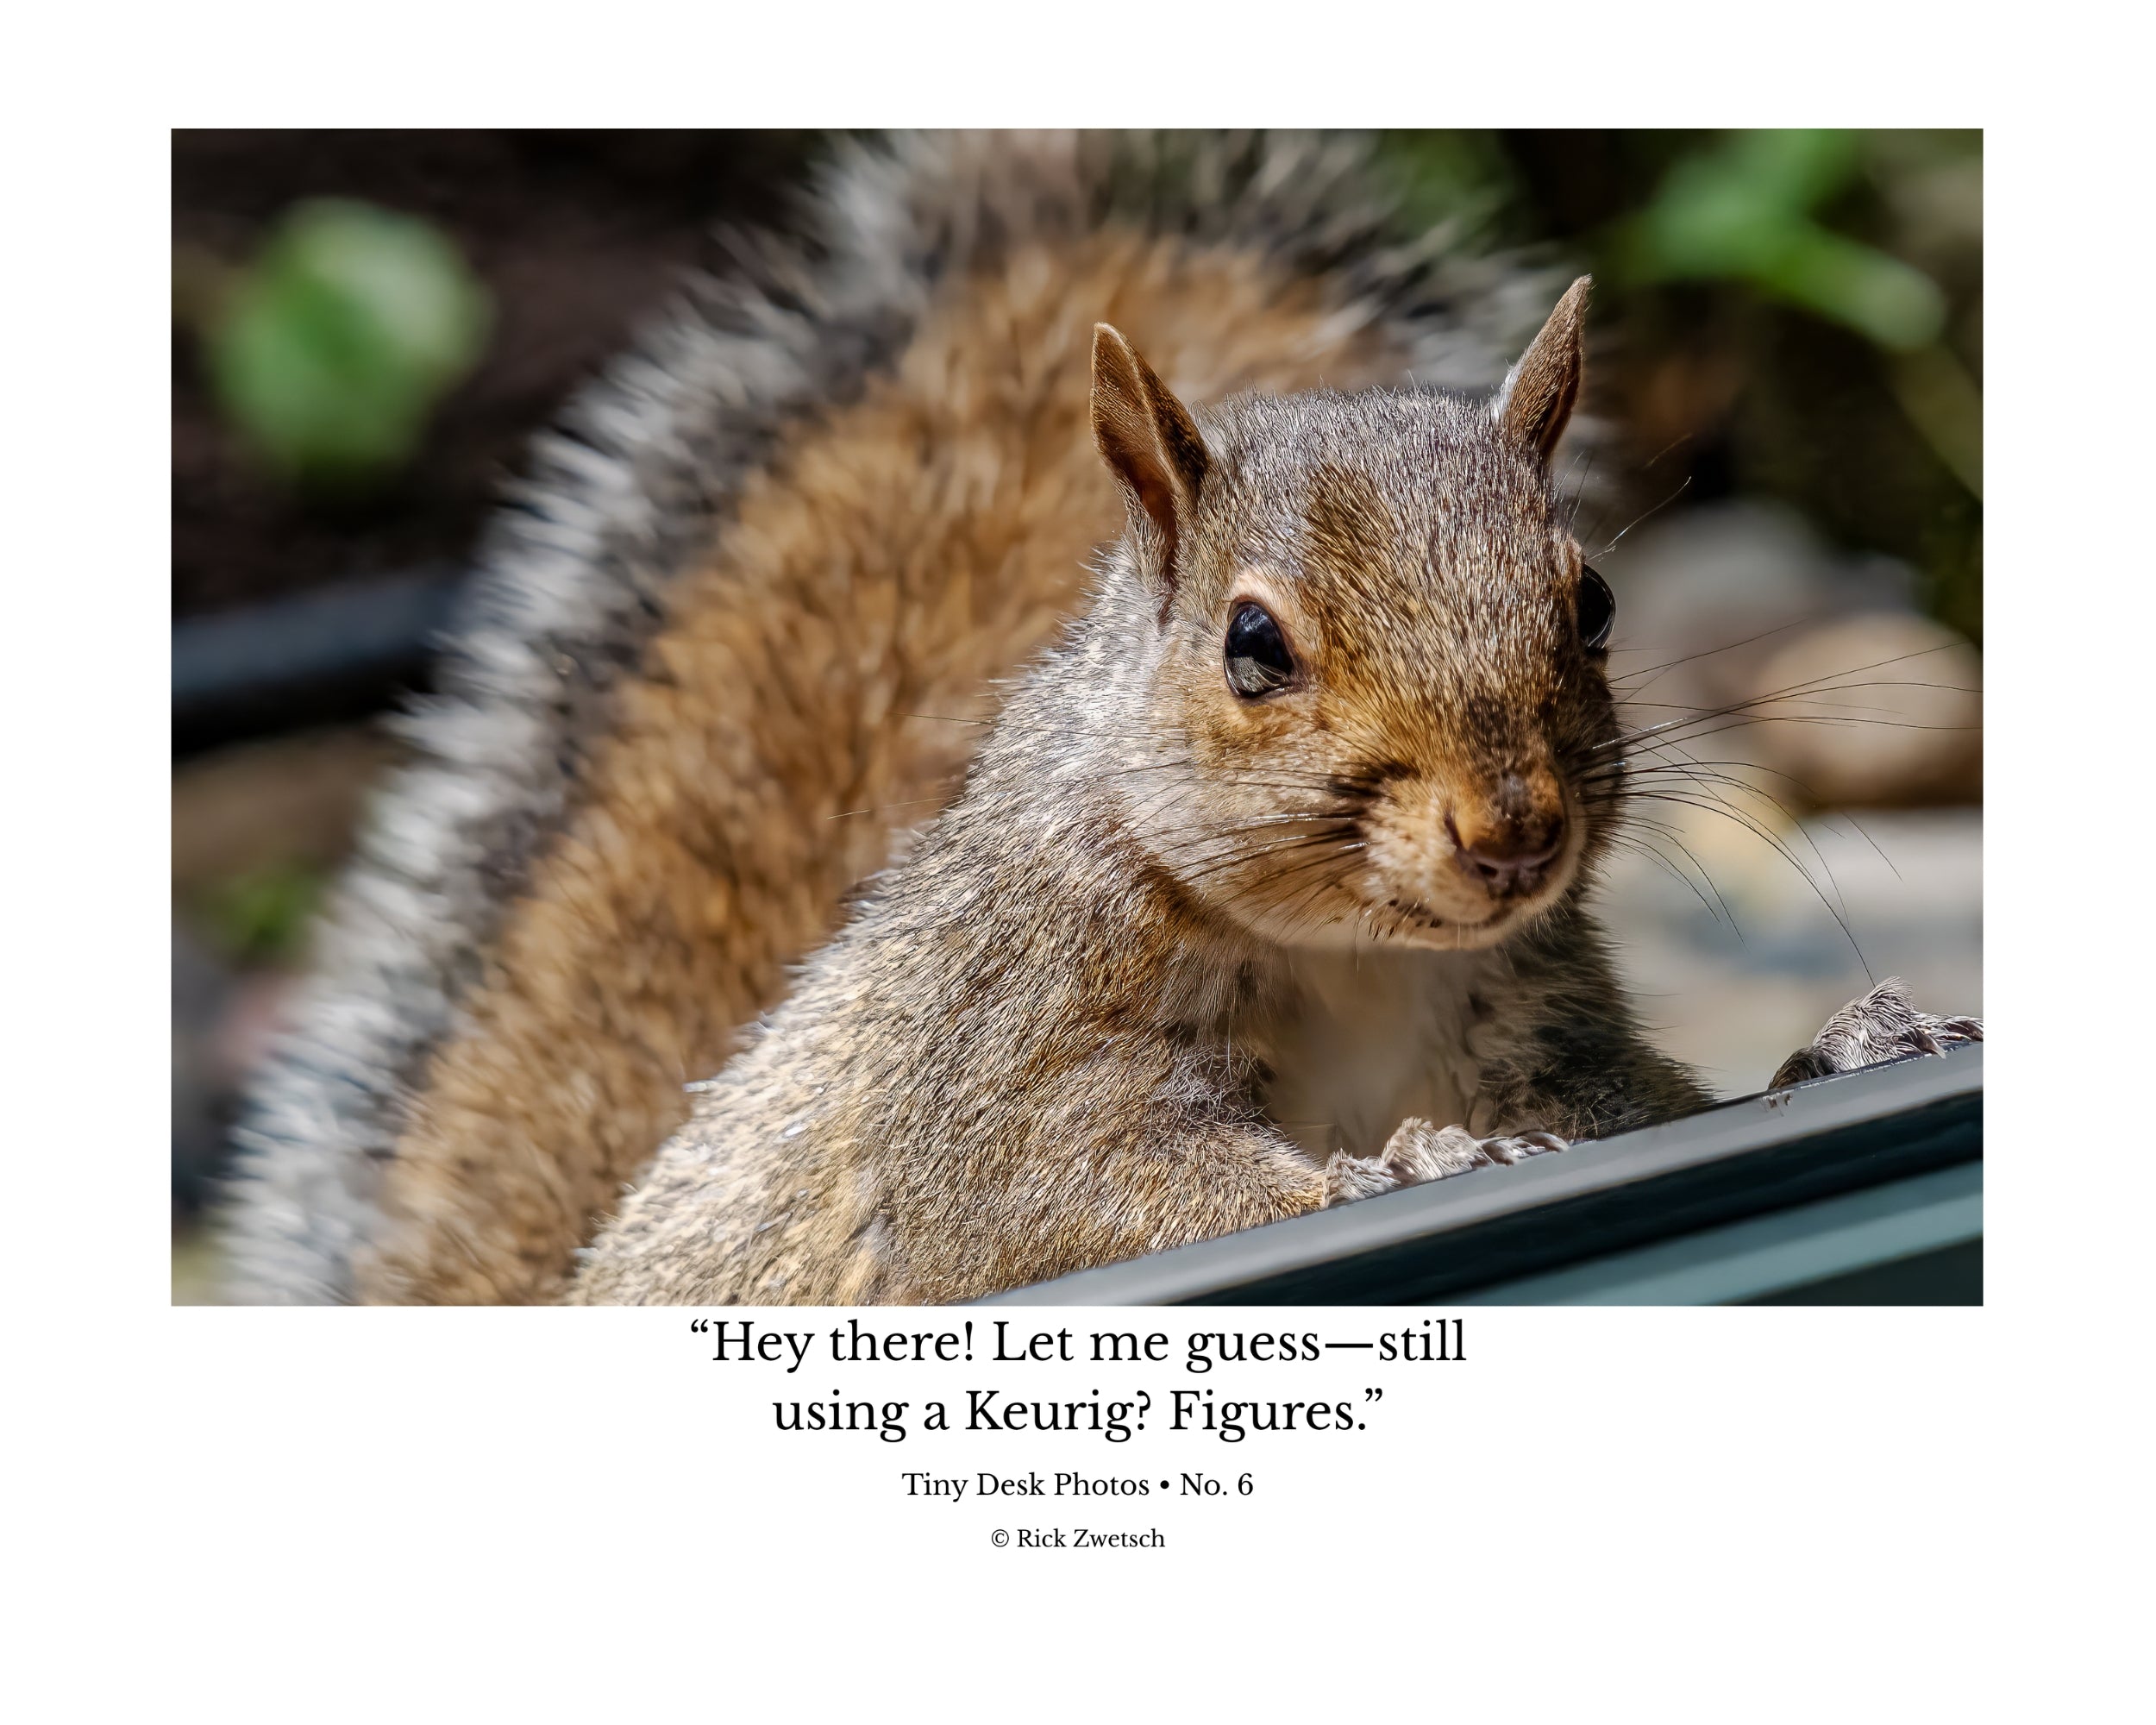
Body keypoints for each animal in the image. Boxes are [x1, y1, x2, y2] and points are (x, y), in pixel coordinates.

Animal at [220, 131, 1980, 1305]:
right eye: (1252, 646)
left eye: (1596, 605)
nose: (1515, 834)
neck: (1357, 960)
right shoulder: (1007, 1053)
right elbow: (1064, 1201)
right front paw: (1405, 1170)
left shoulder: (1537, 1028)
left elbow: (1652, 1114)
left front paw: (1845, 1048)